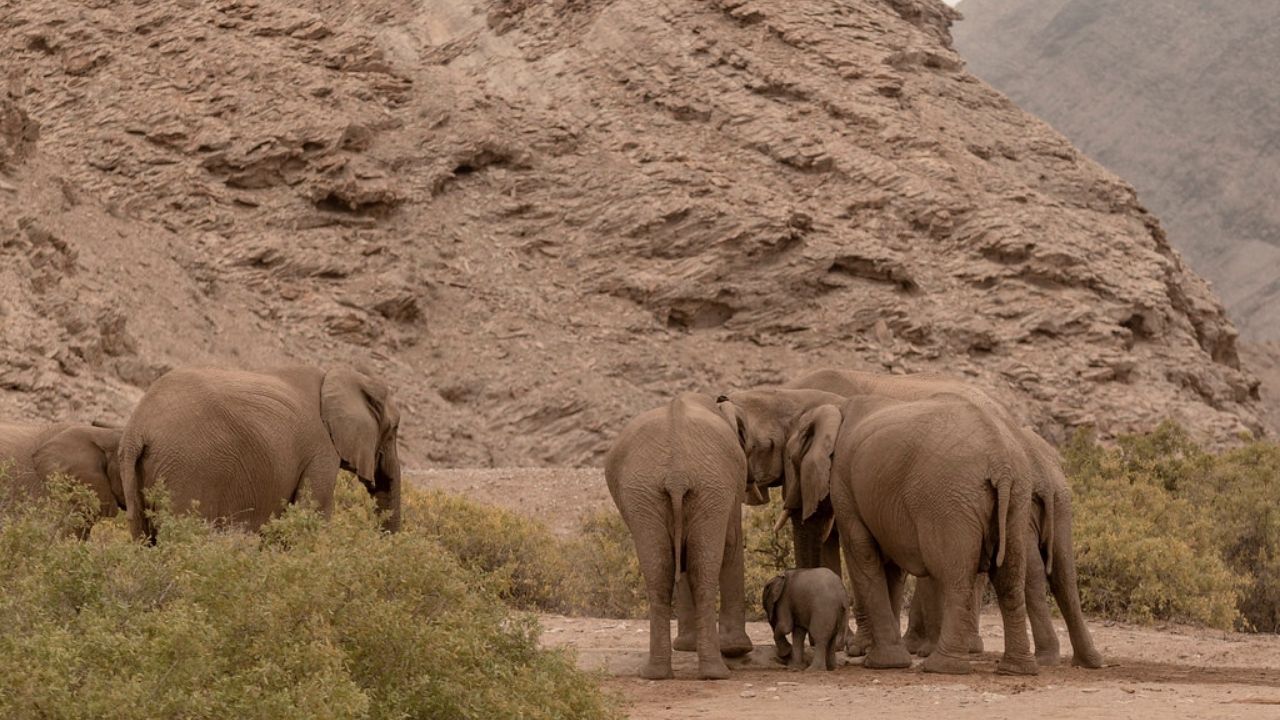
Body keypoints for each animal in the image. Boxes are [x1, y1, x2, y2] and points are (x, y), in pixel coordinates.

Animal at [604, 392, 755, 680]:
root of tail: (676, 473)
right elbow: (731, 543)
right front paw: (735, 650)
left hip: (651, 493)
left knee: (662, 571)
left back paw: (662, 674)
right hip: (702, 487)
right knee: (702, 567)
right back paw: (714, 670)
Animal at [721, 388, 1040, 675]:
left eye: (789, 458)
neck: (833, 403)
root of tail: (1000, 459)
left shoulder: (844, 481)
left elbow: (861, 553)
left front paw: (882, 663)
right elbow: (891, 567)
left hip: (949, 501)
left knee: (954, 576)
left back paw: (942, 667)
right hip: (1018, 496)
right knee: (1010, 577)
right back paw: (1016, 669)